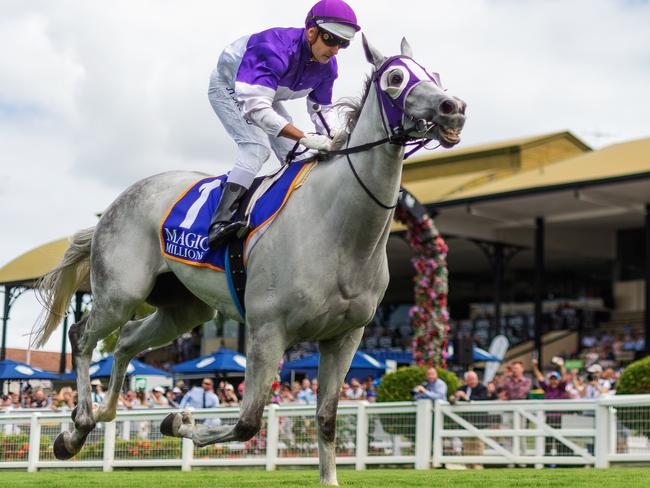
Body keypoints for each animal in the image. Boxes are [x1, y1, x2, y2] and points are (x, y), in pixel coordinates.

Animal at [34, 35, 460, 484]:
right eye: (395, 78)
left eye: (435, 74)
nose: (454, 108)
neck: (339, 230)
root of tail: (111, 208)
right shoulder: (267, 330)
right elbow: (247, 423)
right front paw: (178, 420)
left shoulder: (345, 337)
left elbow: (326, 418)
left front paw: (328, 477)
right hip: (120, 293)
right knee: (82, 335)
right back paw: (78, 427)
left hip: (184, 310)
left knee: (127, 341)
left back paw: (97, 417)